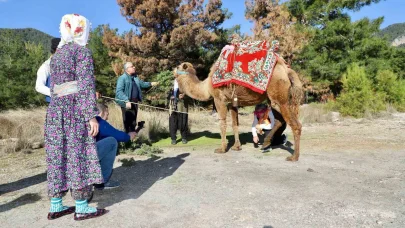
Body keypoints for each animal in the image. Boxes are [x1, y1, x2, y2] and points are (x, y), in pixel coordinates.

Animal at [172, 57, 302, 160]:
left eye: (178, 66)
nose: (172, 70)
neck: (206, 87)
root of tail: (286, 70)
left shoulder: (219, 99)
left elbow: (222, 123)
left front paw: (222, 149)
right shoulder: (232, 103)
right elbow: (235, 124)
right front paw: (236, 146)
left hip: (279, 97)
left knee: (295, 124)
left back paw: (294, 157)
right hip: (272, 99)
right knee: (279, 120)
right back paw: (266, 143)